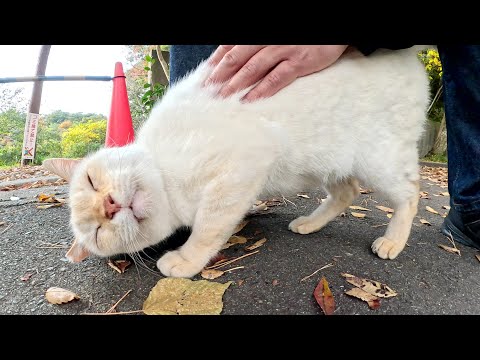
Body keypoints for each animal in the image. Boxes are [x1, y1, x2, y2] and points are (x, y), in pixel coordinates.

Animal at [43, 46, 430, 278]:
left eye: (93, 181)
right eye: (98, 231)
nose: (109, 206)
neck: (170, 191)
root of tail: (411, 59)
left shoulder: (238, 172)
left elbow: (206, 230)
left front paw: (184, 260)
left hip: (377, 159)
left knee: (411, 193)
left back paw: (392, 242)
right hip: (330, 160)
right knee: (347, 191)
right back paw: (309, 223)